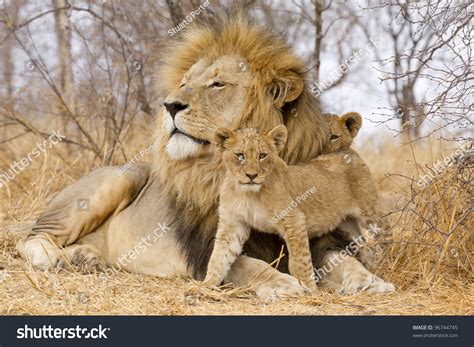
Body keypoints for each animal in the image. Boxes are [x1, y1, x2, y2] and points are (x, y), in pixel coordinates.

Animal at [18, 13, 394, 302]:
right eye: (185, 82)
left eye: (217, 84)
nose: (169, 105)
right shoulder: (204, 245)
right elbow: (244, 265)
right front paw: (281, 283)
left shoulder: (317, 232)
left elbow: (341, 260)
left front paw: (370, 281)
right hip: (119, 177)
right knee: (32, 237)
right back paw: (55, 257)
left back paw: (85, 257)